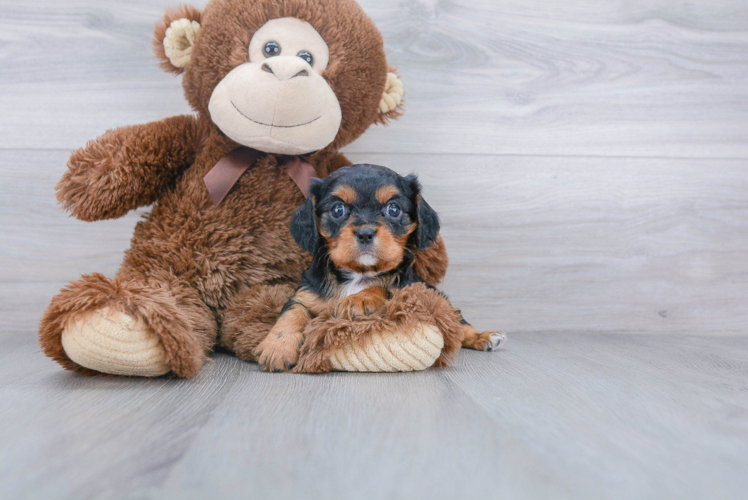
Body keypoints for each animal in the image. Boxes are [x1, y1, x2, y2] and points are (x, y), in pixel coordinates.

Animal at [254, 164, 506, 372]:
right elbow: (291, 313)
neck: (358, 274)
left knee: (459, 323)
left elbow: (384, 288)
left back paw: (485, 337)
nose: (365, 233)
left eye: (393, 209)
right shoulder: (305, 294)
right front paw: (277, 347)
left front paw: (358, 299)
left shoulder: (408, 291)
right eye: (337, 210)